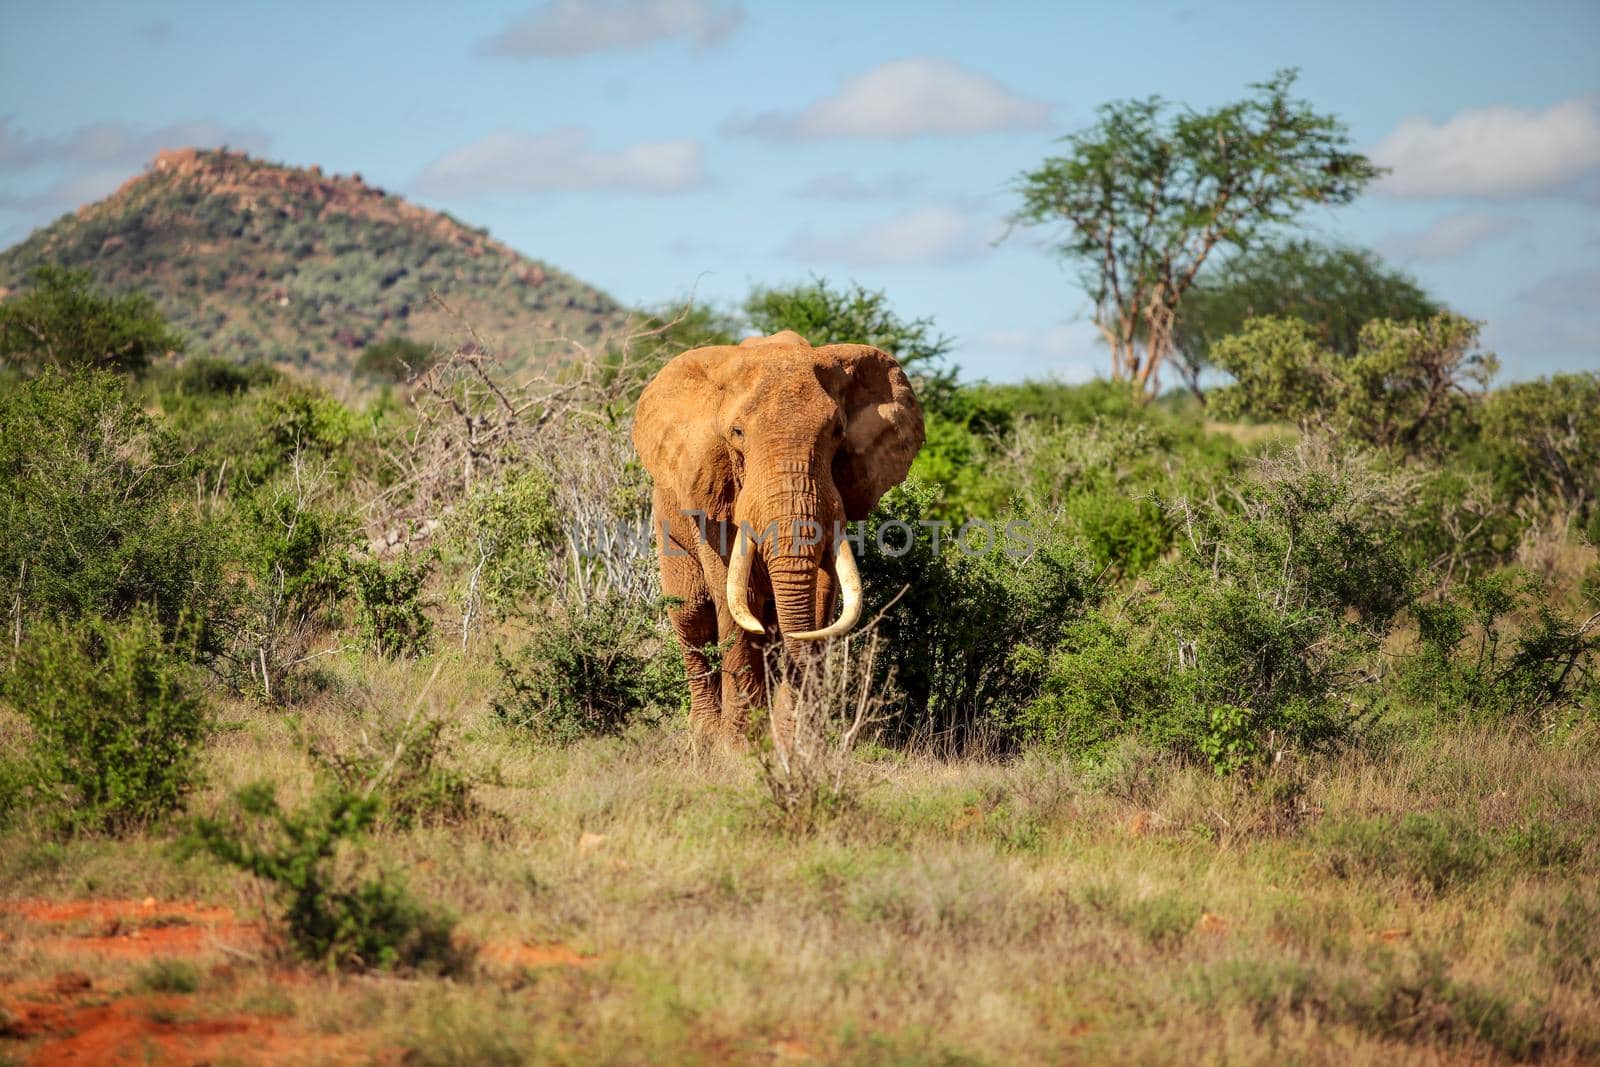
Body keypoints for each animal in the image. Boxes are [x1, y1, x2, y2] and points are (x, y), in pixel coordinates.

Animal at [627, 334, 921, 751]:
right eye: (737, 433)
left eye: (837, 431)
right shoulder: (716, 495)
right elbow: (733, 599)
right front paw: (738, 748)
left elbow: (822, 592)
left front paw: (794, 743)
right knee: (692, 616)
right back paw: (705, 738)